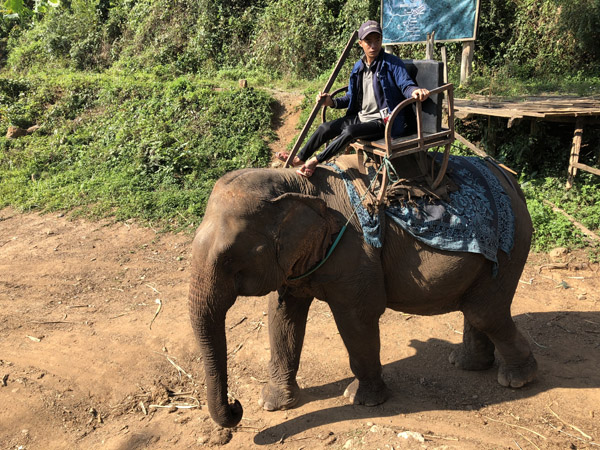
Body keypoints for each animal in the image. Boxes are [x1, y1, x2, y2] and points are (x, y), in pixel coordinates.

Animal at [188, 156, 536, 428]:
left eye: (229, 257)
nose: (236, 406)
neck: (298, 184)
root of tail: (508, 176)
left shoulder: (355, 249)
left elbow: (356, 317)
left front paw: (361, 400)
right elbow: (282, 314)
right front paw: (273, 404)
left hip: (511, 246)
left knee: (485, 312)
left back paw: (517, 380)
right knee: (475, 309)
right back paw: (466, 364)